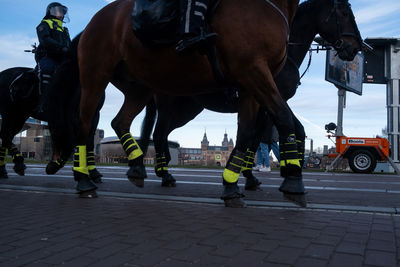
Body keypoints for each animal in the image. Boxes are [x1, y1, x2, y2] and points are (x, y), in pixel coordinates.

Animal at [0, 34, 104, 183]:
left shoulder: (94, 115)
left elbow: (88, 141)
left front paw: (93, 172)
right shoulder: (69, 116)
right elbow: (70, 140)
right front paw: (56, 166)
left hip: (19, 116)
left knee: (5, 137)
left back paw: (5, 170)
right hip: (9, 113)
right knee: (5, 135)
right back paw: (18, 163)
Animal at [70, 0, 304, 207]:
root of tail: (92, 21)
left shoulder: (250, 87)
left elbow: (246, 135)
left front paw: (232, 185)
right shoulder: (254, 73)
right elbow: (283, 119)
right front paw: (292, 181)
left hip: (141, 88)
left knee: (123, 123)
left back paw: (139, 168)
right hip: (96, 77)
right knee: (87, 125)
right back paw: (86, 180)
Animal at [139, 0, 364, 195]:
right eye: (345, 12)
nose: (356, 47)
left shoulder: (269, 101)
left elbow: (276, 133)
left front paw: (272, 171)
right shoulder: (269, 97)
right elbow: (259, 137)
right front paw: (255, 175)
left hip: (185, 109)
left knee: (162, 133)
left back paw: (159, 170)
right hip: (172, 106)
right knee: (159, 133)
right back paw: (164, 174)